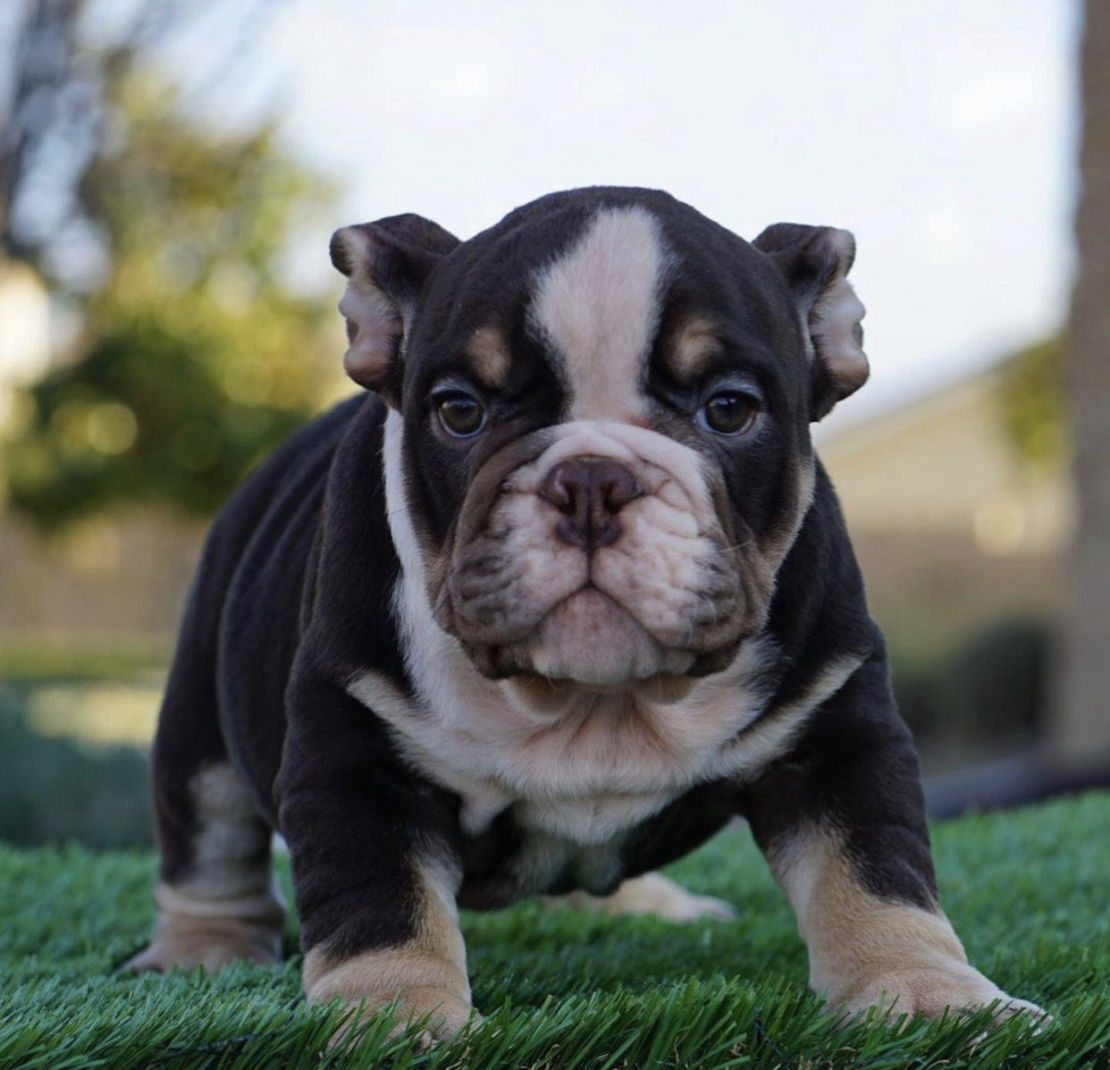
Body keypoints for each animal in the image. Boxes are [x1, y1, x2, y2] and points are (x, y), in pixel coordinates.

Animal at [129, 186, 1038, 1034]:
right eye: (460, 410)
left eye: (730, 408)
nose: (594, 480)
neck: (594, 701)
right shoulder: (354, 746)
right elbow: (375, 900)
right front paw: (392, 1014)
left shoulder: (836, 728)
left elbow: (876, 870)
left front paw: (927, 994)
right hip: (198, 723)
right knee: (209, 839)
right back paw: (203, 952)